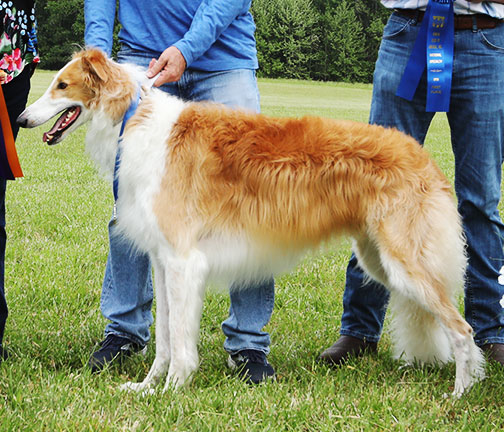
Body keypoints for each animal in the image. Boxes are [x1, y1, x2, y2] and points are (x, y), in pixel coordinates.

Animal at [16, 49, 484, 396]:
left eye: (61, 85)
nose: (21, 120)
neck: (136, 118)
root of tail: (422, 156)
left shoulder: (184, 261)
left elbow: (180, 344)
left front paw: (172, 391)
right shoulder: (164, 261)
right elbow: (164, 338)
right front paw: (147, 388)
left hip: (406, 263)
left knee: (464, 330)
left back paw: (460, 395)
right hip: (377, 259)